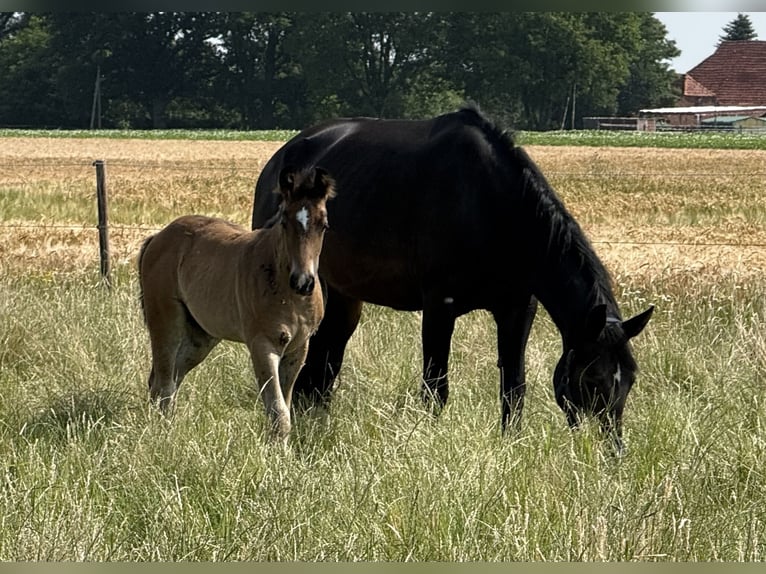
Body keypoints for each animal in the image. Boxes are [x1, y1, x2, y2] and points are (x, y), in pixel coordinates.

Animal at [138, 166, 335, 442]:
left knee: (168, 379)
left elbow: (285, 408)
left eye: (324, 225)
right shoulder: (262, 345)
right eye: (284, 222)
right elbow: (278, 411)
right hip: (166, 322)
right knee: (163, 382)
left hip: (201, 336)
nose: (303, 281)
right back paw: (163, 436)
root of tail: (158, 237)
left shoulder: (298, 348)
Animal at [251, 105, 653, 452]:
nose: (612, 451)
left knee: (323, 367)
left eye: (631, 379)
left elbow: (514, 389)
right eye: (592, 379)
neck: (496, 207)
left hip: (343, 296)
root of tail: (282, 157)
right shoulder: (438, 308)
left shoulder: (517, 310)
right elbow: (435, 388)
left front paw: (510, 446)